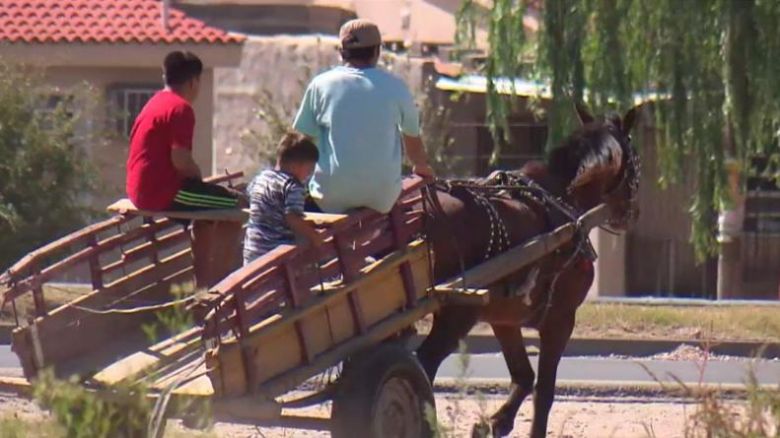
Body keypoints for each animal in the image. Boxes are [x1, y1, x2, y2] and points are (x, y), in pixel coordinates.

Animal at [418, 104, 644, 436]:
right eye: (635, 160)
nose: (633, 212)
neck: (564, 200)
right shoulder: (560, 320)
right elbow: (544, 392)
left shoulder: (504, 318)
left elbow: (523, 376)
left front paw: (494, 422)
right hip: (457, 313)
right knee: (423, 364)